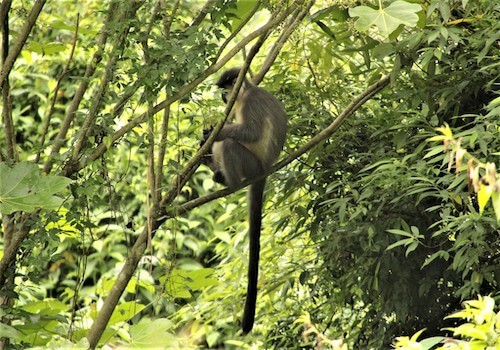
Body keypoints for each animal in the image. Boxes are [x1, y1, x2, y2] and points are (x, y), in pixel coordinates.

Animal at [201, 68, 288, 334]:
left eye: (225, 89)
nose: (223, 97)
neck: (244, 95)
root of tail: (265, 171)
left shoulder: (250, 102)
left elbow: (249, 132)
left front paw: (214, 133)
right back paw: (211, 164)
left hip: (251, 165)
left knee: (230, 144)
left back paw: (229, 183)